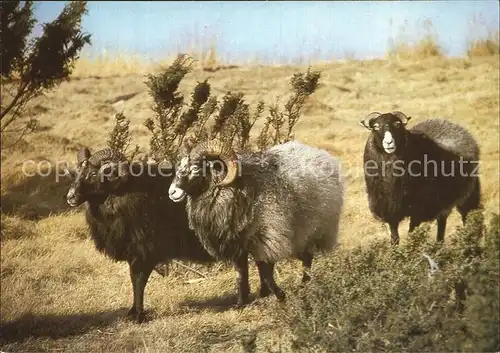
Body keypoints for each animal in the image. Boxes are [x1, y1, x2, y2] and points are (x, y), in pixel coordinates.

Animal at [168, 139, 344, 304]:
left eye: (196, 169)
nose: (172, 192)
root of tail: (319, 152)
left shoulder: (267, 237)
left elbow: (265, 271)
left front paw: (280, 295)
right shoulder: (237, 243)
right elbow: (242, 272)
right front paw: (242, 302)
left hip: (315, 228)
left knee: (307, 259)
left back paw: (304, 284)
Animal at [360, 111, 480, 243]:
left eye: (397, 124)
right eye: (376, 127)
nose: (389, 143)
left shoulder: (419, 210)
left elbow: (412, 233)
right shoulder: (390, 209)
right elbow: (395, 237)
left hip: (468, 195)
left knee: (467, 216)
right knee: (442, 222)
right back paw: (439, 242)